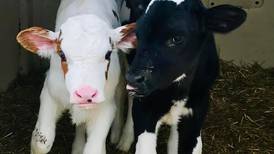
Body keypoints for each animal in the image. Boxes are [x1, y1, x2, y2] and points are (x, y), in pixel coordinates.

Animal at [122, 0, 246, 153]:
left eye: (177, 38)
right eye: (137, 35)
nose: (133, 78)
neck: (177, 94)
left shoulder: (195, 115)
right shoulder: (144, 110)